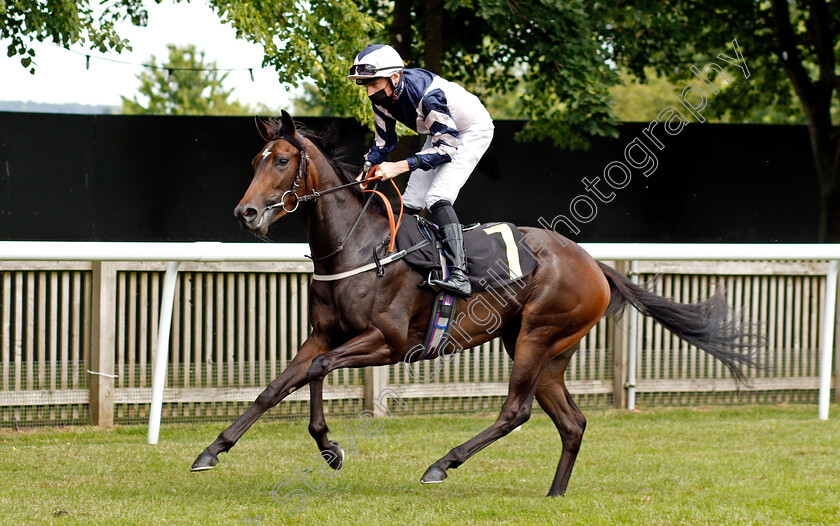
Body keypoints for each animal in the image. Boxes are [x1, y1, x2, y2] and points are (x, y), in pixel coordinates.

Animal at [192, 111, 760, 500]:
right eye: (255, 161)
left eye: (283, 160)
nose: (245, 213)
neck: (360, 247)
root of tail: (595, 264)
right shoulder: (324, 334)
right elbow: (277, 386)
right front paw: (212, 450)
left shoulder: (387, 342)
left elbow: (318, 371)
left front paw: (330, 447)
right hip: (546, 351)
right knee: (571, 421)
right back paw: (554, 494)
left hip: (536, 337)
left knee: (516, 410)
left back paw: (442, 464)